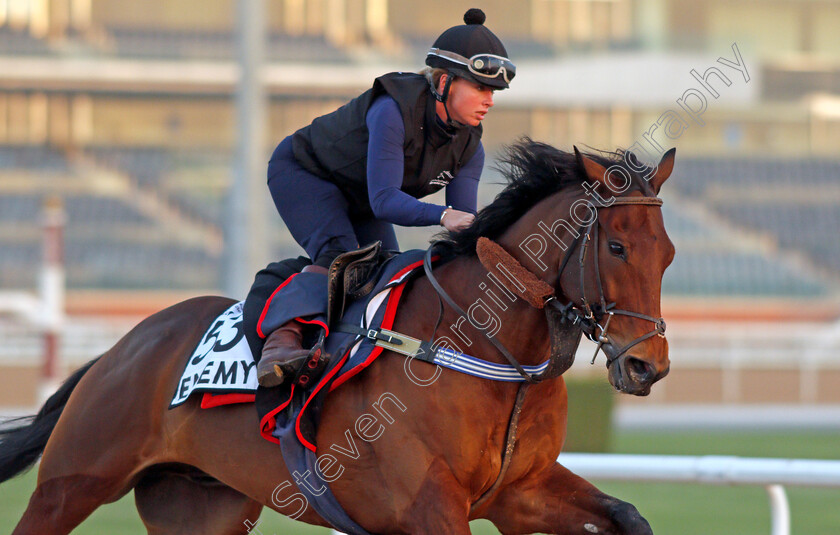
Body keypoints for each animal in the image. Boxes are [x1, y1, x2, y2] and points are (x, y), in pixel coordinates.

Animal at [0, 140, 676, 532]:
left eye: (667, 253)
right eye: (617, 247)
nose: (648, 366)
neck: (491, 350)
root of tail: (120, 349)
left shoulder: (518, 491)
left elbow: (627, 516)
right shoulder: (428, 508)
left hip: (200, 506)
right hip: (71, 484)